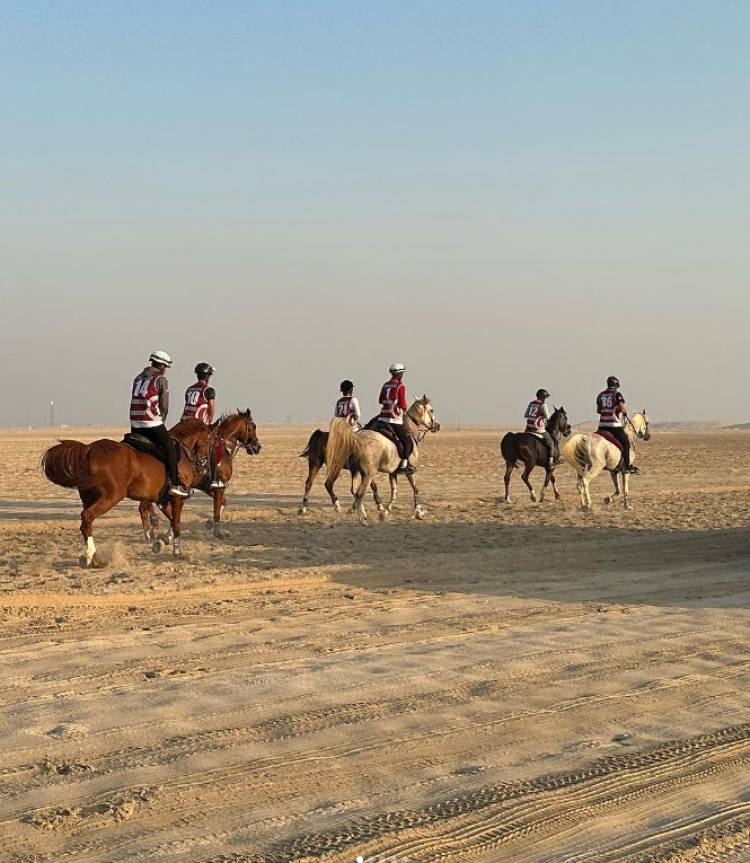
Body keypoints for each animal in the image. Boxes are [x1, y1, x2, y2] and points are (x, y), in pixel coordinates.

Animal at [42, 432, 207, 568]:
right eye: (208, 438)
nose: (202, 465)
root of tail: (88, 449)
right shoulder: (177, 498)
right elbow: (177, 523)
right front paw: (176, 551)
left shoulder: (163, 501)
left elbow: (173, 520)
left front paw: (162, 541)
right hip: (112, 496)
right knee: (87, 516)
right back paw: (90, 557)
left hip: (88, 496)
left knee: (86, 523)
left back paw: (95, 560)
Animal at [141, 408, 262, 544]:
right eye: (253, 426)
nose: (257, 447)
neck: (225, 446)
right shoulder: (220, 486)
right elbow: (217, 510)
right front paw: (217, 531)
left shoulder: (208, 487)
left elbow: (222, 503)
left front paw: (209, 524)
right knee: (147, 506)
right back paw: (151, 532)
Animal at [324, 398, 440, 528]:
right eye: (431, 410)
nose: (437, 425)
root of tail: (356, 438)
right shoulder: (411, 471)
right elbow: (415, 489)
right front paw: (419, 513)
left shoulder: (393, 473)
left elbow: (394, 492)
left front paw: (385, 513)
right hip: (368, 474)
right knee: (358, 494)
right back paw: (362, 520)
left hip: (357, 471)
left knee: (354, 491)